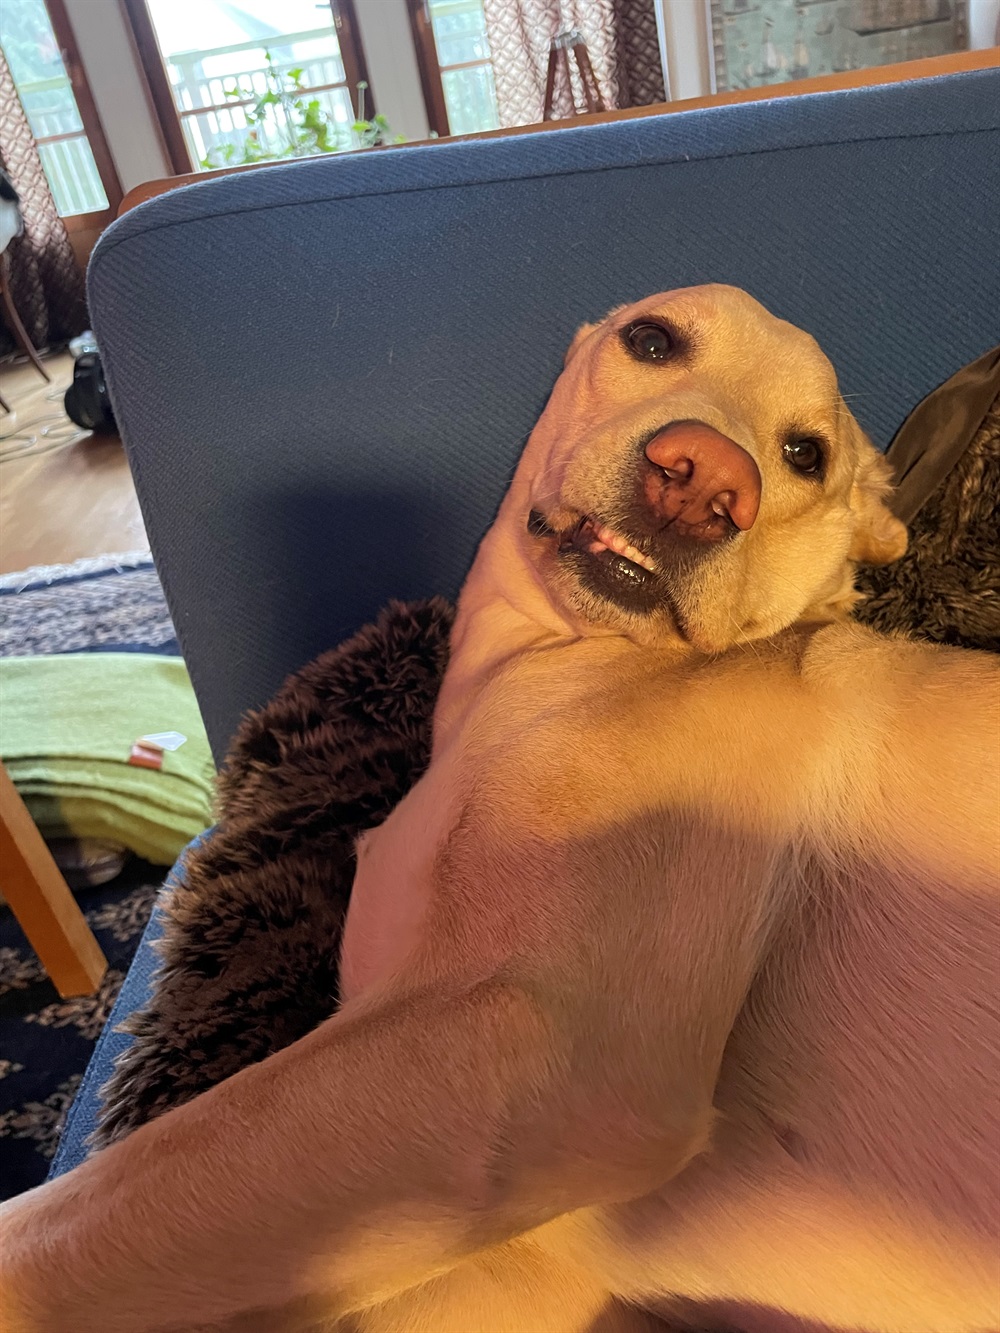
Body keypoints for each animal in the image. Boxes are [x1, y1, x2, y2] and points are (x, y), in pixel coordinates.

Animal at [1, 285, 997, 1333]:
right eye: (652, 340)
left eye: (807, 454)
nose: (704, 480)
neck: (566, 669)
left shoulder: (514, 1061)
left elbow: (64, 1221)